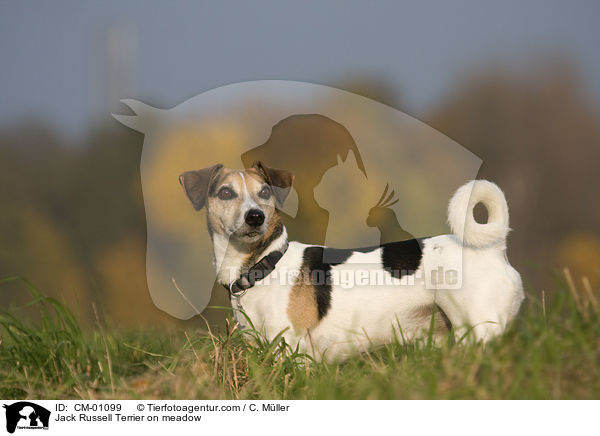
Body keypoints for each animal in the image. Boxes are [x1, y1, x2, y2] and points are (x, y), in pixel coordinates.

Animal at [178, 162, 520, 360]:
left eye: (264, 193)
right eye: (225, 193)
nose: (255, 217)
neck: (265, 263)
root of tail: (494, 246)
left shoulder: (294, 351)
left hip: (479, 328)